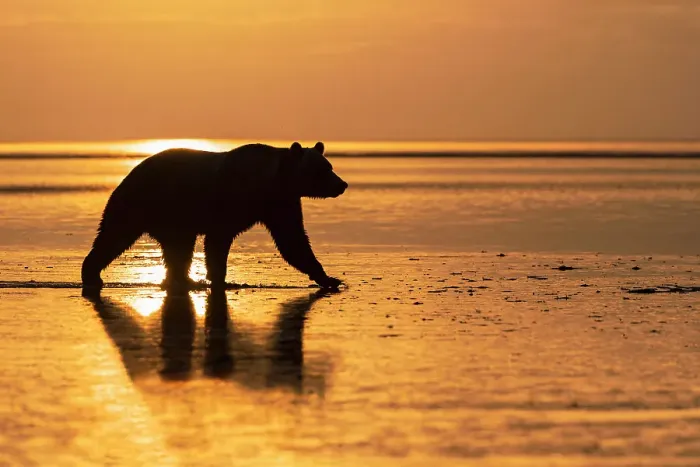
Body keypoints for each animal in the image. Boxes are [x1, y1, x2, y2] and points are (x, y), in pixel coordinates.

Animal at [81, 141, 347, 293]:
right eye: (323, 169)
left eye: (329, 166)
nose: (342, 184)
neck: (270, 182)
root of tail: (128, 173)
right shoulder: (231, 199)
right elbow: (218, 239)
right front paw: (219, 278)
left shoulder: (280, 203)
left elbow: (293, 239)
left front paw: (329, 278)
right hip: (149, 202)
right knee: (115, 235)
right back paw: (92, 274)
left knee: (177, 248)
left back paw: (183, 280)